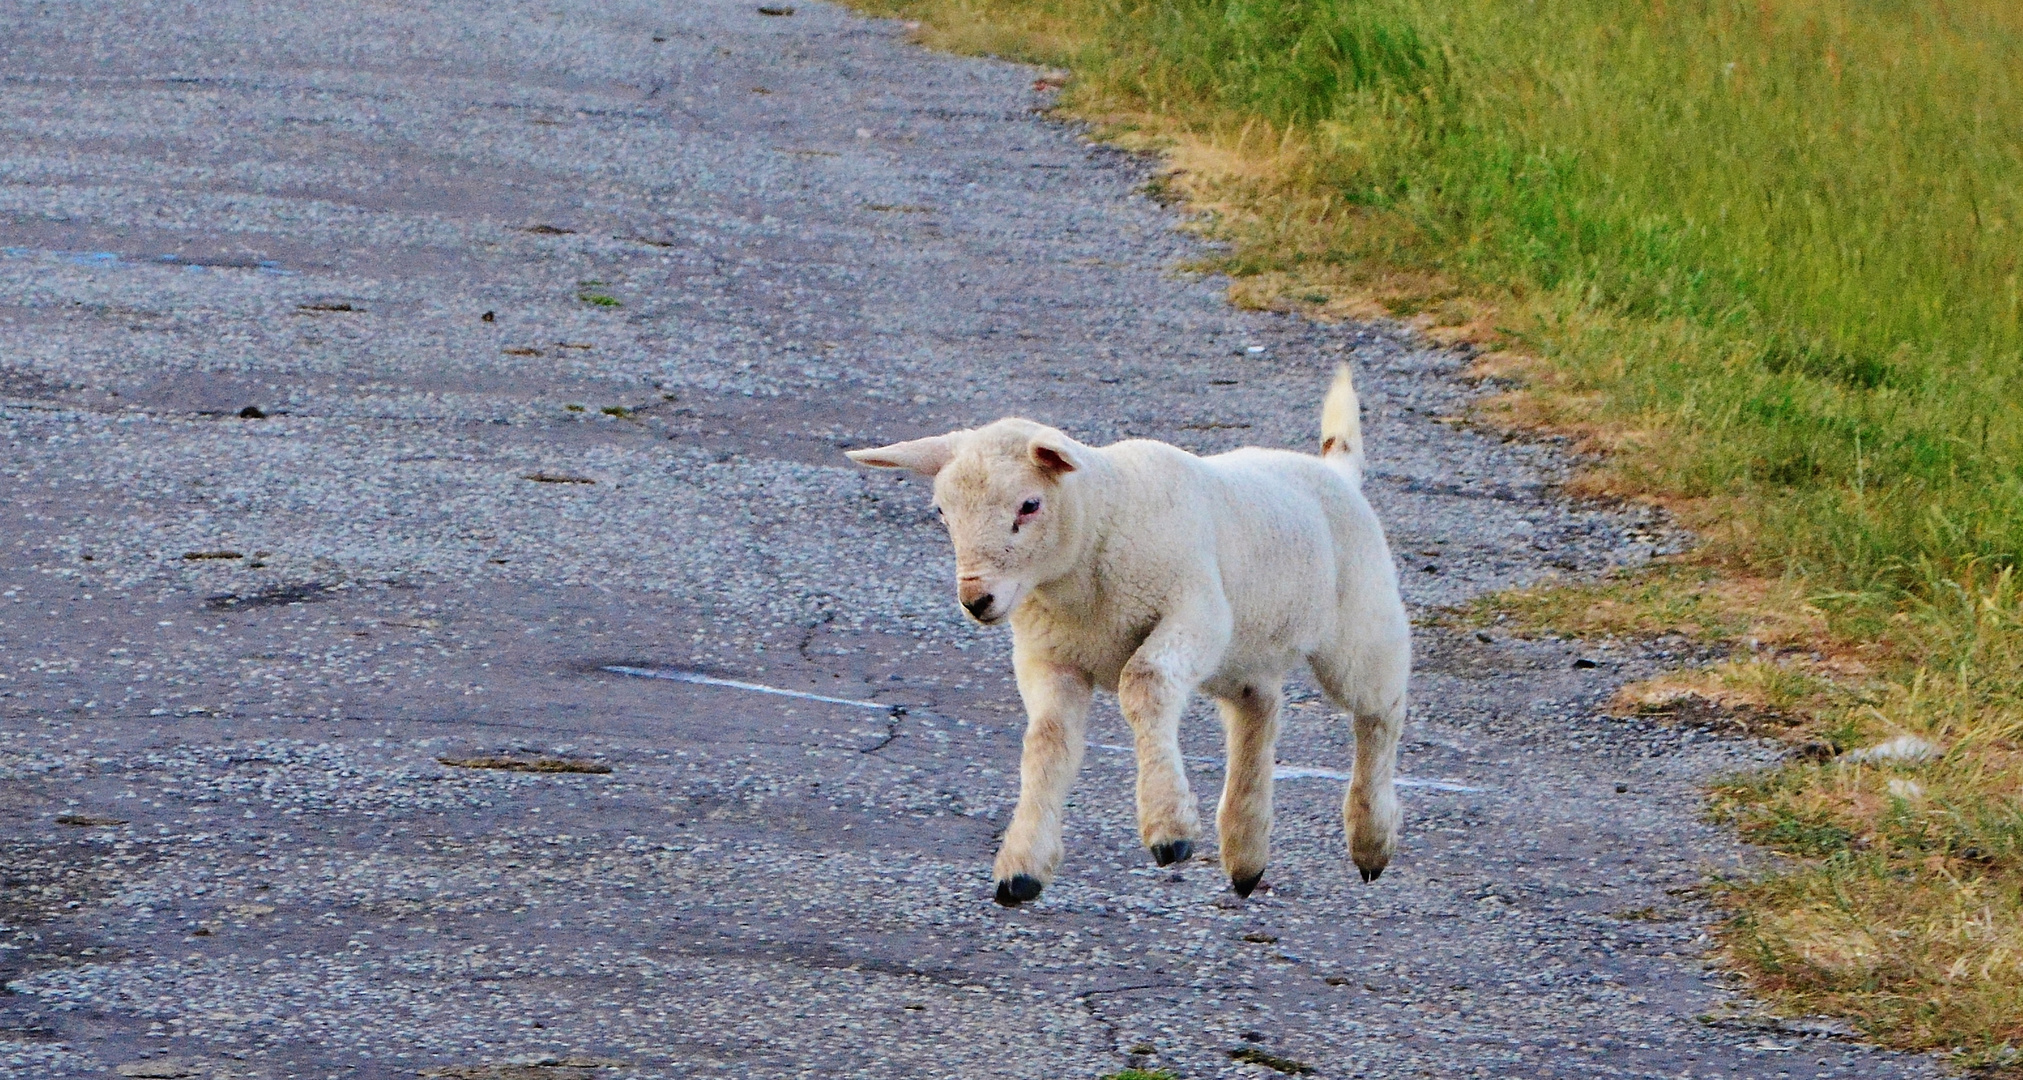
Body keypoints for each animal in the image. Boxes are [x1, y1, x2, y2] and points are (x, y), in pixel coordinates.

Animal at [849, 370, 1408, 906]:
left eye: (1029, 505)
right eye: (942, 513)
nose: (975, 599)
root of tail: (1336, 473)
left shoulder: (1194, 612)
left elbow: (1143, 683)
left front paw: (1169, 830)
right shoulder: (1050, 656)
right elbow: (1048, 743)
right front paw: (1022, 868)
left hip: (1359, 624)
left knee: (1380, 710)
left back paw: (1371, 840)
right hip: (1242, 652)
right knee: (1259, 710)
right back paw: (1246, 854)